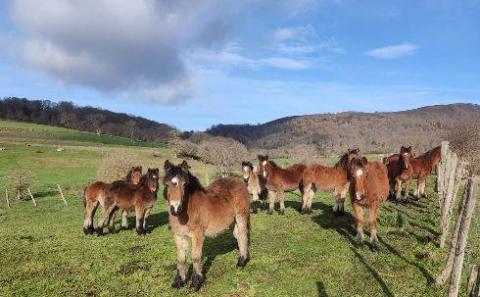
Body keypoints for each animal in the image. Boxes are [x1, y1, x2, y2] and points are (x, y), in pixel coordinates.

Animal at [163, 158, 249, 290]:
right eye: (167, 185)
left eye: (184, 185)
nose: (175, 209)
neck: (188, 210)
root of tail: (239, 182)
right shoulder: (178, 235)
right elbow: (181, 258)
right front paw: (179, 281)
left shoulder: (198, 235)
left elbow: (195, 257)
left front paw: (195, 283)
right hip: (232, 222)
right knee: (238, 236)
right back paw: (240, 257)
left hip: (241, 216)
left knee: (243, 236)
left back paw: (241, 263)